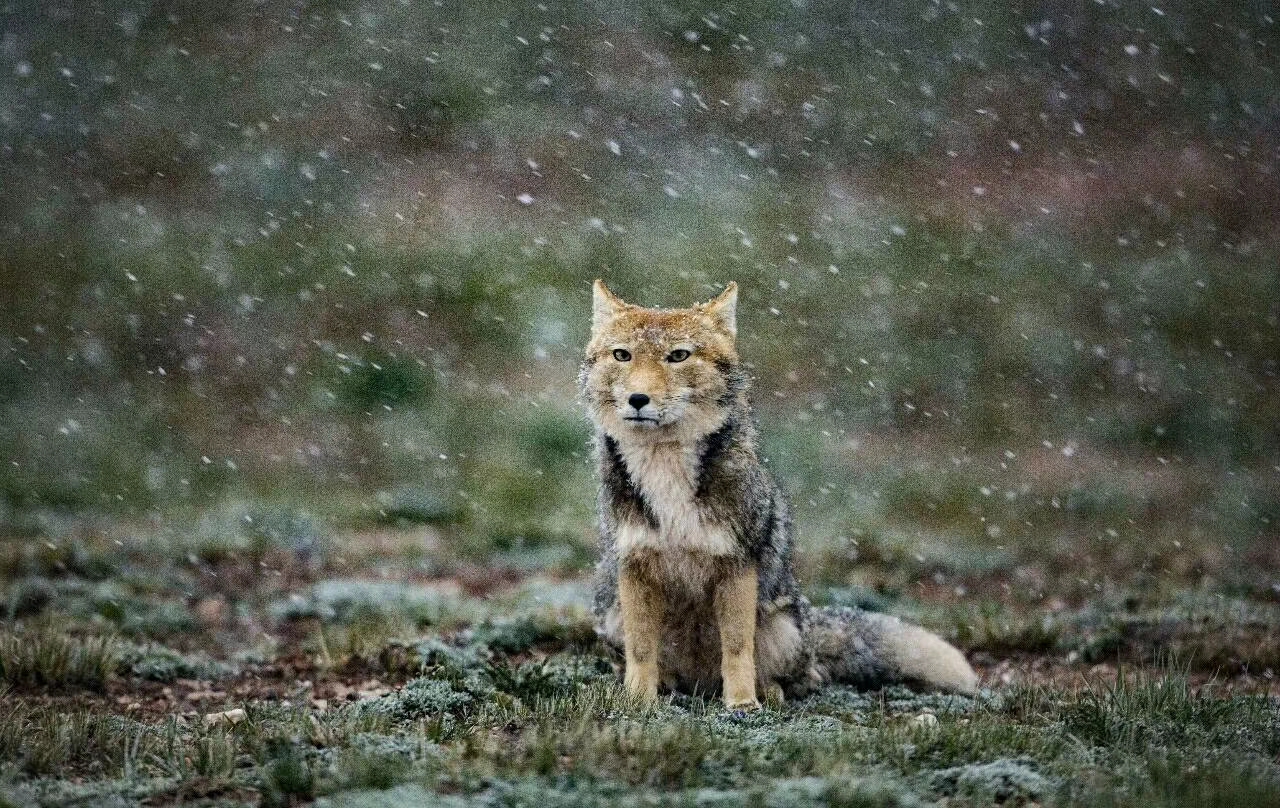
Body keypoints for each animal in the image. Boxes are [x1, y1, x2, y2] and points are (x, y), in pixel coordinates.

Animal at [581, 281, 977, 711]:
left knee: (805, 677)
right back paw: (667, 687)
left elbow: (737, 648)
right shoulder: (635, 567)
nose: (638, 399)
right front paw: (638, 702)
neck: (665, 475)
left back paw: (767, 692)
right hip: (611, 612)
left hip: (783, 629)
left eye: (678, 356)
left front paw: (742, 705)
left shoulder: (736, 566)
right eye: (623, 355)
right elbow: (641, 650)